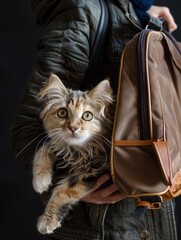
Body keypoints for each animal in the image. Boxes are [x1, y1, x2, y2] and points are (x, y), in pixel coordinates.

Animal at [32, 73, 113, 234]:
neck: (80, 150)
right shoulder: (59, 146)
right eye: (62, 113)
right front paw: (41, 179)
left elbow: (64, 190)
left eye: (87, 116)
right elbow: (44, 148)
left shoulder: (96, 169)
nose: (73, 128)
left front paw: (48, 219)